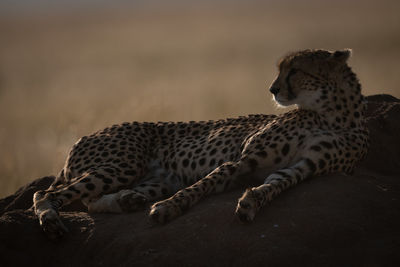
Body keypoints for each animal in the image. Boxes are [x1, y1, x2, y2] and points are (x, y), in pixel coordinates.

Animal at [33, 49, 368, 240]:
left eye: (295, 70)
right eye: (282, 69)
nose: (273, 89)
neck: (331, 113)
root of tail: (82, 136)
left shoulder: (304, 167)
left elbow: (275, 184)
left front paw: (250, 203)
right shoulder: (244, 159)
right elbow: (204, 184)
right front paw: (169, 208)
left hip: (155, 179)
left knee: (90, 200)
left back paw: (128, 201)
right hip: (123, 164)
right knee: (46, 193)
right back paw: (51, 220)